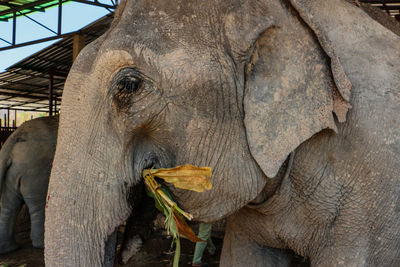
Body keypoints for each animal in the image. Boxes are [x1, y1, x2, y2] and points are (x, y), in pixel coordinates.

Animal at [0, 115, 57, 253]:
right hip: (37, 172)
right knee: (39, 204)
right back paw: (42, 245)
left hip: (14, 172)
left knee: (9, 205)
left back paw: (9, 249)